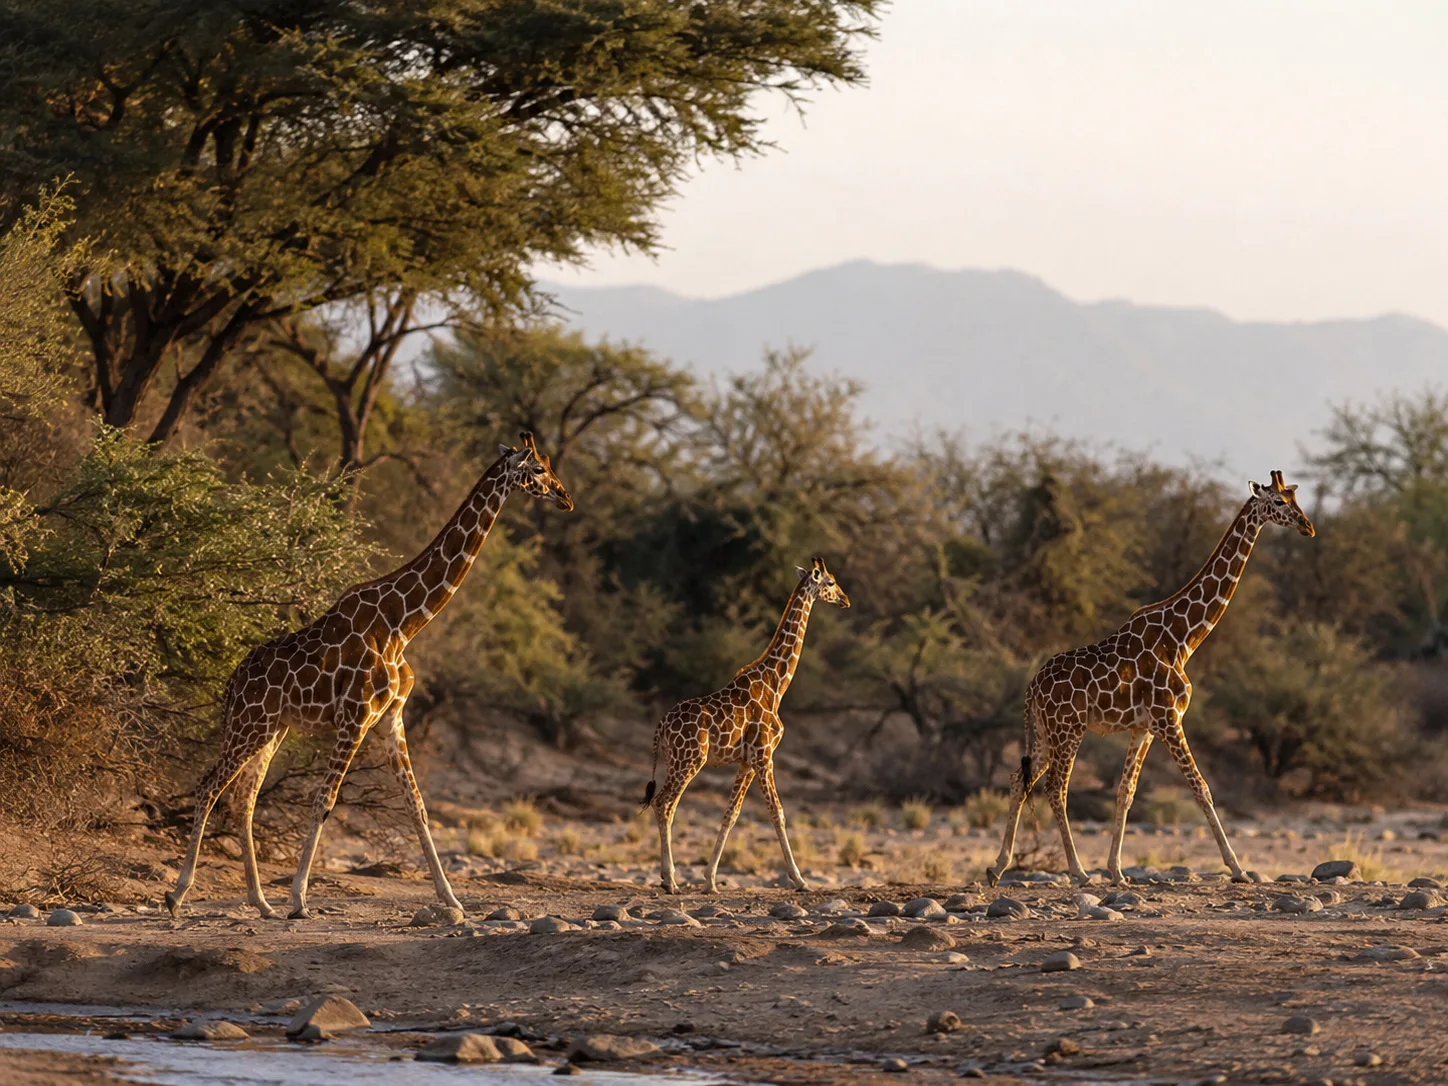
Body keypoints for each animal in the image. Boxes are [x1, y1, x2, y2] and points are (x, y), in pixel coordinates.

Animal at [165, 432, 573, 920]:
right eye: (538, 469)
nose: (565, 496)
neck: (404, 624)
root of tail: (232, 684)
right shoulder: (355, 718)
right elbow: (324, 801)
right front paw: (299, 899)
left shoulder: (390, 719)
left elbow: (417, 805)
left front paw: (452, 900)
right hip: (251, 725)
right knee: (209, 786)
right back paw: (178, 894)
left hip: (272, 729)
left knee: (243, 798)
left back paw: (260, 902)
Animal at [641, 557, 850, 895]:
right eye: (830, 582)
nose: (845, 599)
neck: (776, 684)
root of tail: (661, 726)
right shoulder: (765, 755)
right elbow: (777, 812)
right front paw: (801, 880)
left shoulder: (747, 761)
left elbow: (731, 814)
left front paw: (710, 880)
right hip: (690, 761)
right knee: (664, 804)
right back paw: (669, 879)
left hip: (677, 761)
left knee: (667, 805)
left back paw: (668, 878)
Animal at [986, 470, 1315, 887]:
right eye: (1278, 502)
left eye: (1295, 498)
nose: (1308, 527)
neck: (1184, 637)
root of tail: (1031, 689)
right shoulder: (1168, 719)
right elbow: (1201, 788)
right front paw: (1239, 869)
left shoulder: (1143, 727)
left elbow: (1125, 791)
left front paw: (1116, 870)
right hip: (1068, 729)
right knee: (1055, 788)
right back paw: (1078, 871)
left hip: (1046, 732)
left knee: (1019, 779)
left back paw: (997, 867)